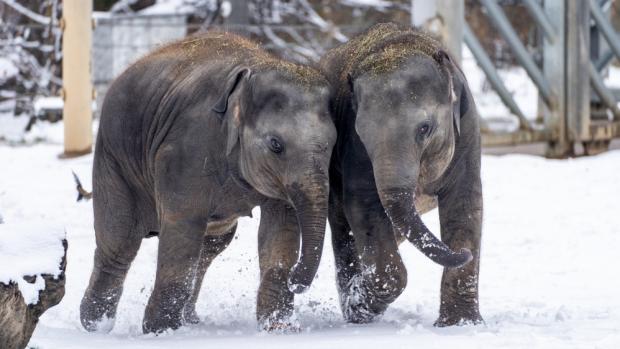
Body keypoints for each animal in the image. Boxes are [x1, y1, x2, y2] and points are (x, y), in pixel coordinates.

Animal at [81, 32, 340, 332]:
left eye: (332, 145)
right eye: (276, 145)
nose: (296, 280)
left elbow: (280, 228)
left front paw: (279, 328)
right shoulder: (186, 151)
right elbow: (182, 225)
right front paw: (160, 331)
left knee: (212, 244)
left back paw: (190, 320)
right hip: (114, 159)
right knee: (119, 240)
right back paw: (95, 324)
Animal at [320, 23, 484, 324]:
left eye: (424, 129)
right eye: (363, 135)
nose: (464, 253)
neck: (400, 46)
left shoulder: (467, 130)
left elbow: (465, 203)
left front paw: (461, 324)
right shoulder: (353, 146)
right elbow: (363, 205)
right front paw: (361, 304)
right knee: (342, 227)